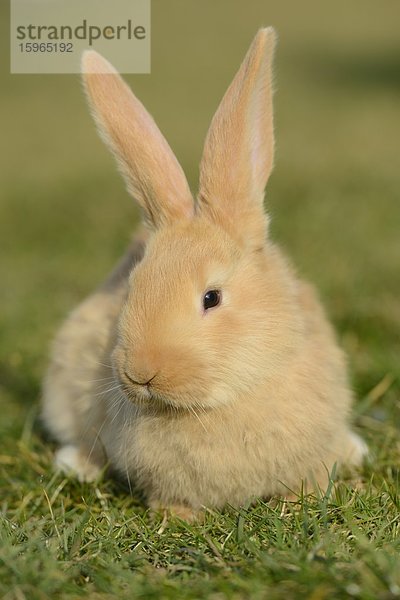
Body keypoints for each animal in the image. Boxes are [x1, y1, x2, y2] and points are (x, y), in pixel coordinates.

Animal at [42, 28, 368, 520]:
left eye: (211, 298)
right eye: (131, 289)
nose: (141, 373)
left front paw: (304, 497)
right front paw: (176, 515)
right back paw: (76, 462)